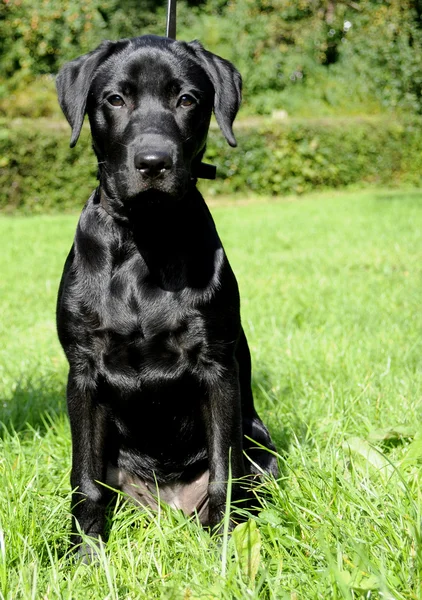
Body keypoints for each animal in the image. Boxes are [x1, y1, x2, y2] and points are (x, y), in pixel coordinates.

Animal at [55, 35, 276, 556]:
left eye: (187, 100)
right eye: (115, 99)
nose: (153, 162)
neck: (146, 241)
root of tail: (168, 506)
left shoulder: (218, 367)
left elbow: (223, 473)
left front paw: (225, 553)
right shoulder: (83, 372)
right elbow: (85, 481)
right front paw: (85, 557)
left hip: (261, 444)